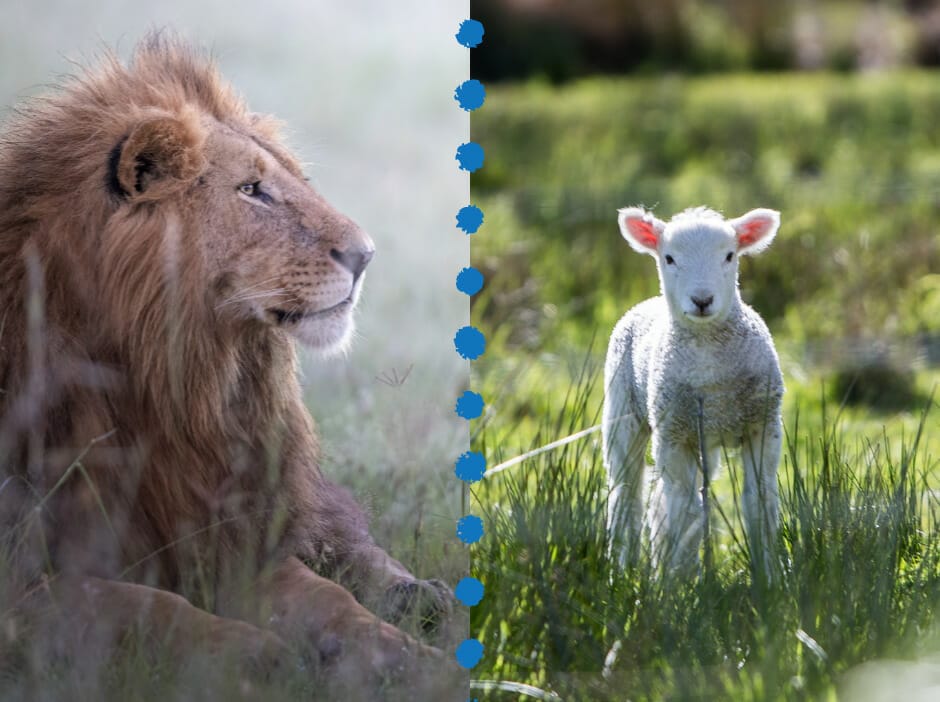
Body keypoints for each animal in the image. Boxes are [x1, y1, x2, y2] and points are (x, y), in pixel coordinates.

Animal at [0, 35, 453, 682]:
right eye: (251, 190)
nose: (366, 255)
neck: (173, 388)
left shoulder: (228, 528)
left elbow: (330, 598)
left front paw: (413, 660)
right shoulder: (26, 581)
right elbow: (139, 604)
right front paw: (259, 656)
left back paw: (421, 598)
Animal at [602, 206, 784, 577]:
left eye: (729, 255)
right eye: (669, 258)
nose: (702, 300)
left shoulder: (763, 426)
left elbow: (759, 502)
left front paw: (768, 576)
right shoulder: (673, 436)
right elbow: (684, 511)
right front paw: (683, 581)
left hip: (704, 440)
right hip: (623, 413)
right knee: (627, 494)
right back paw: (623, 570)